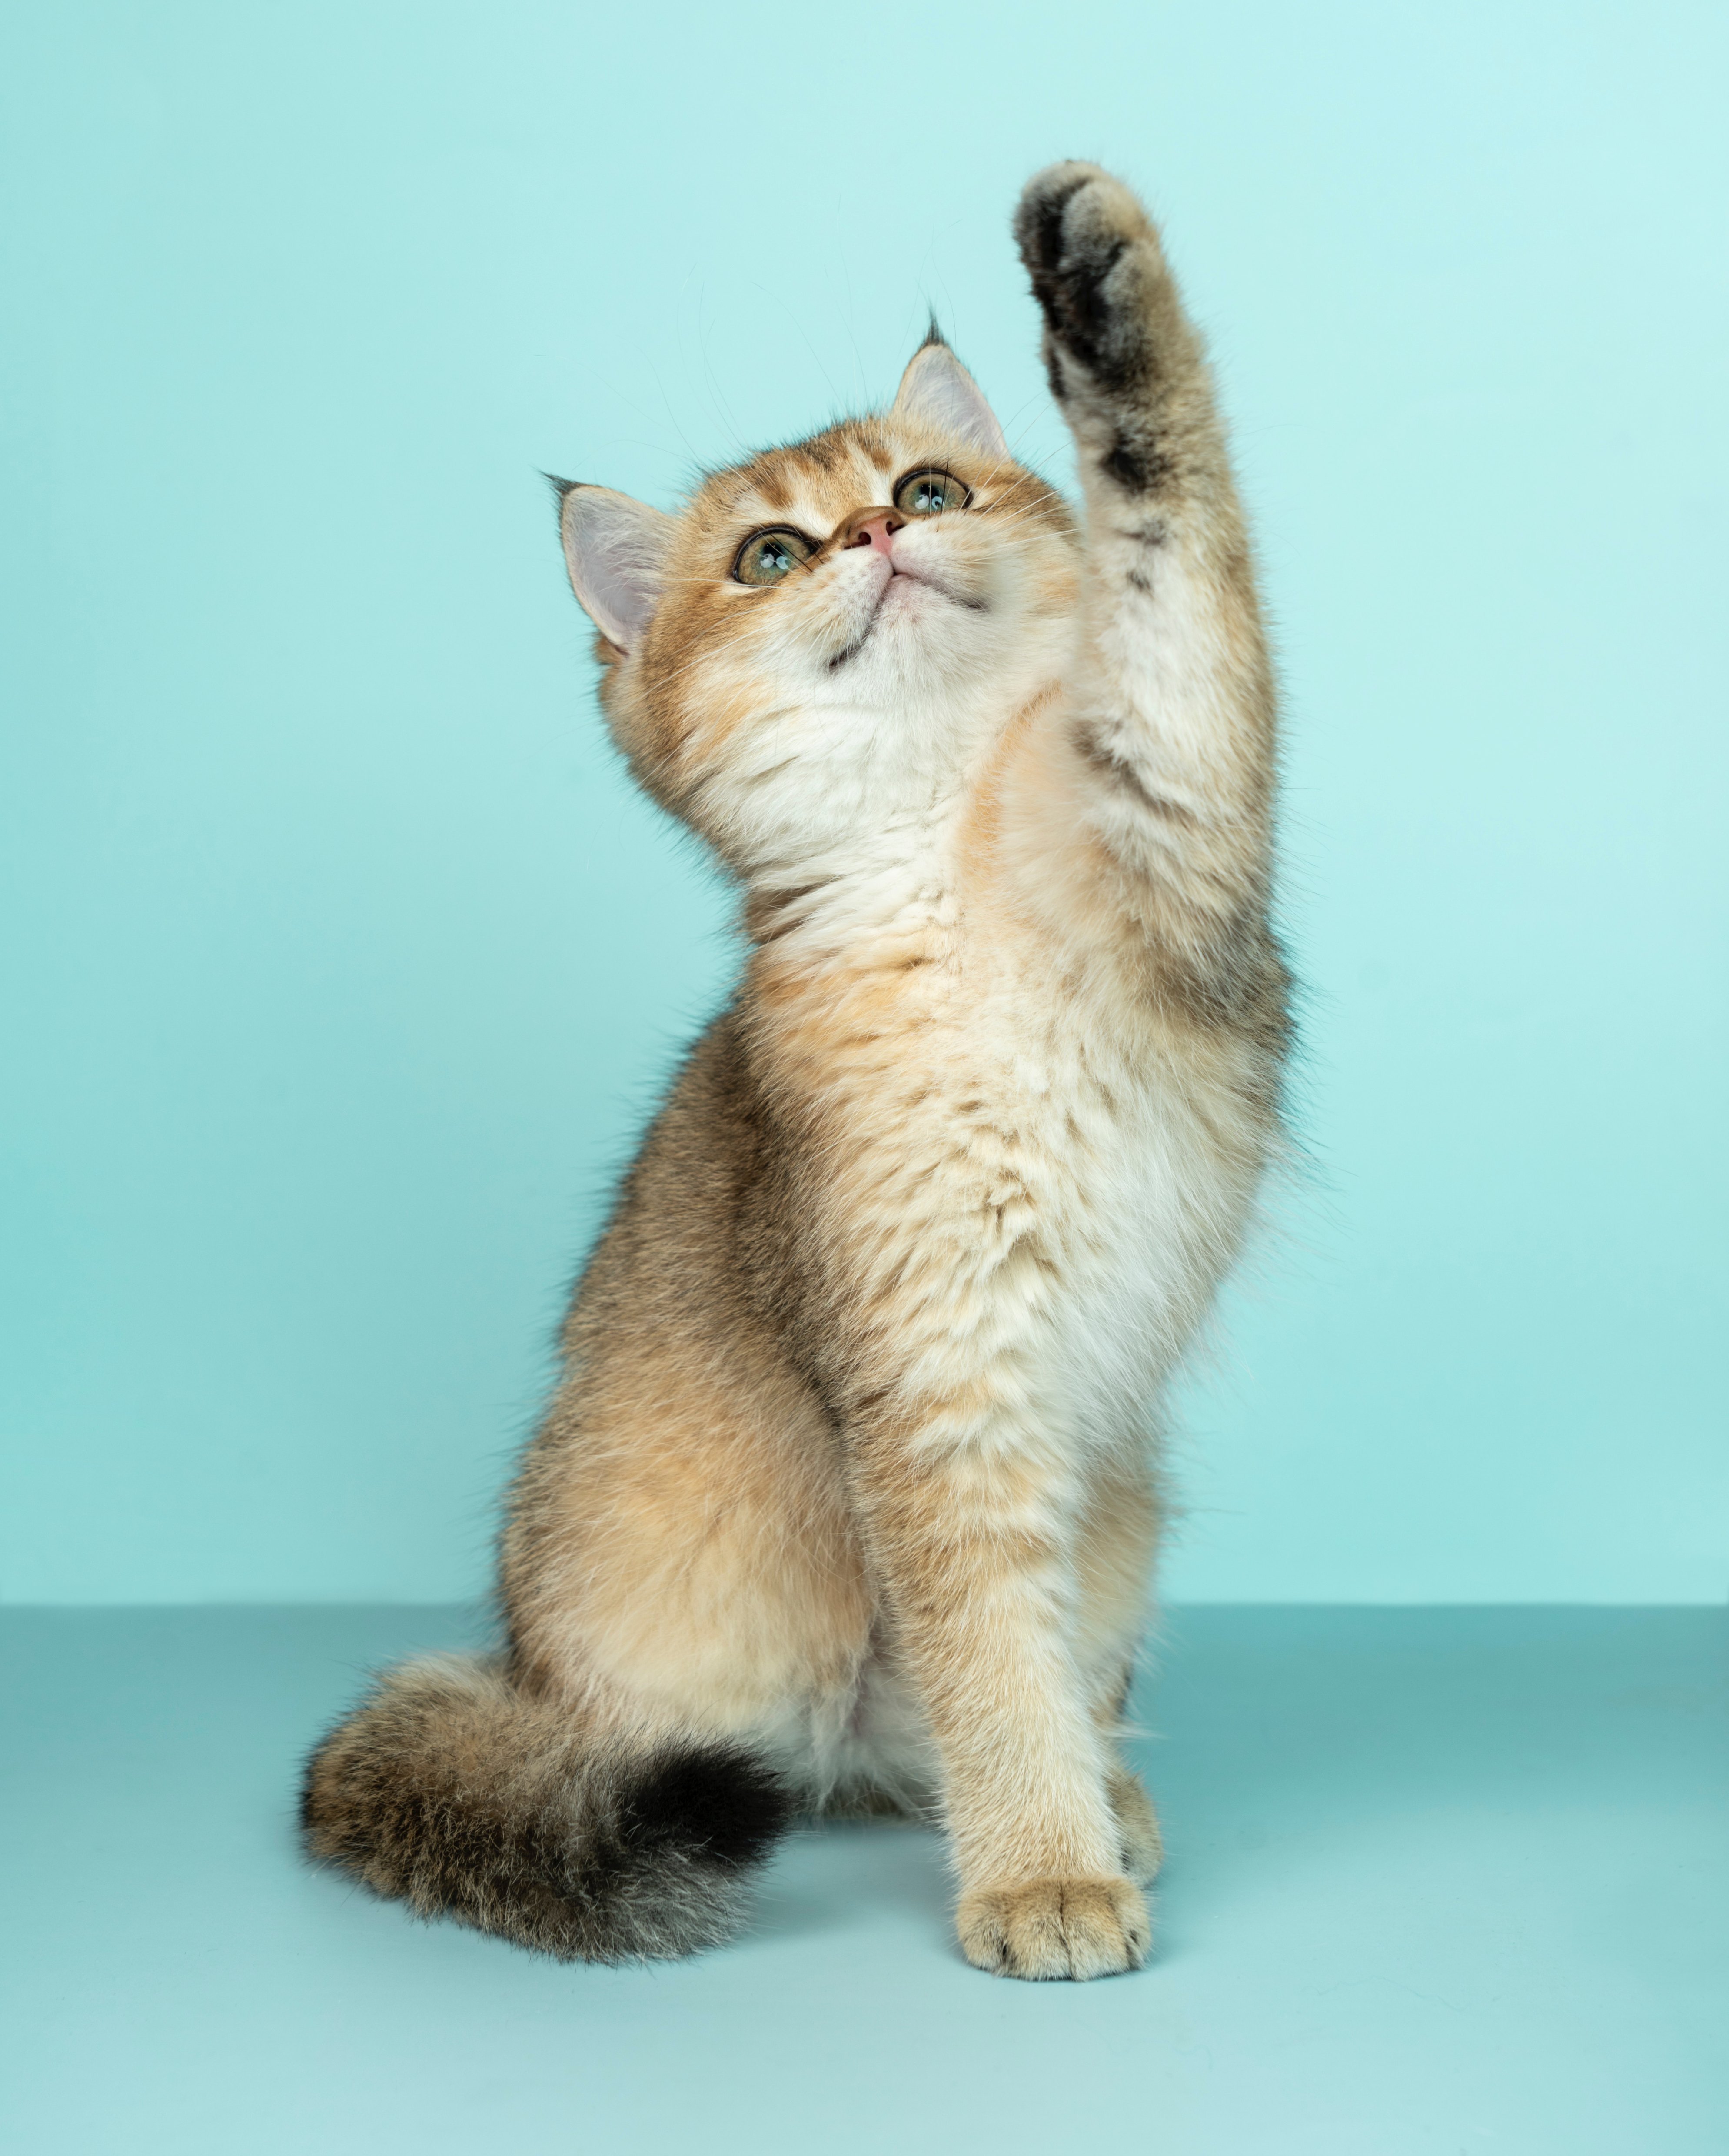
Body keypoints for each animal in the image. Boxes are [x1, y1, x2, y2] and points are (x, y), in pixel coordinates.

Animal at [304, 163, 1285, 1983]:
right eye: (768, 556)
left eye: (925, 486)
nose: (873, 538)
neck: (948, 844)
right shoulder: (931, 1371)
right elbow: (987, 1659)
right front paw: (1040, 1877)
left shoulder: (1176, 813)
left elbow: (1171, 549)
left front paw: (1100, 281)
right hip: (637, 1667)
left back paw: (1109, 1789)